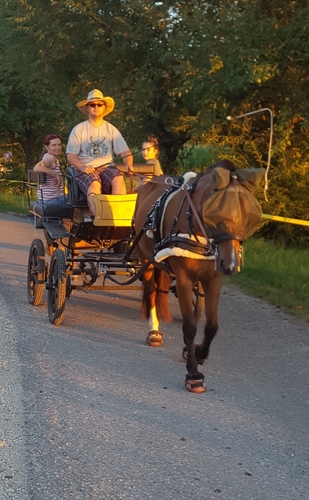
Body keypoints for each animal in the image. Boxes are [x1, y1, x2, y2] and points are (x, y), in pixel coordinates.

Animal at [134, 158, 264, 392]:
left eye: (248, 215)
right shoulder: (184, 279)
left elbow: (211, 326)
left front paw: (198, 352)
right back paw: (154, 332)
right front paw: (193, 374)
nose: (231, 264)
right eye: (217, 214)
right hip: (145, 258)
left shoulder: (213, 279)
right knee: (151, 292)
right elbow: (190, 326)